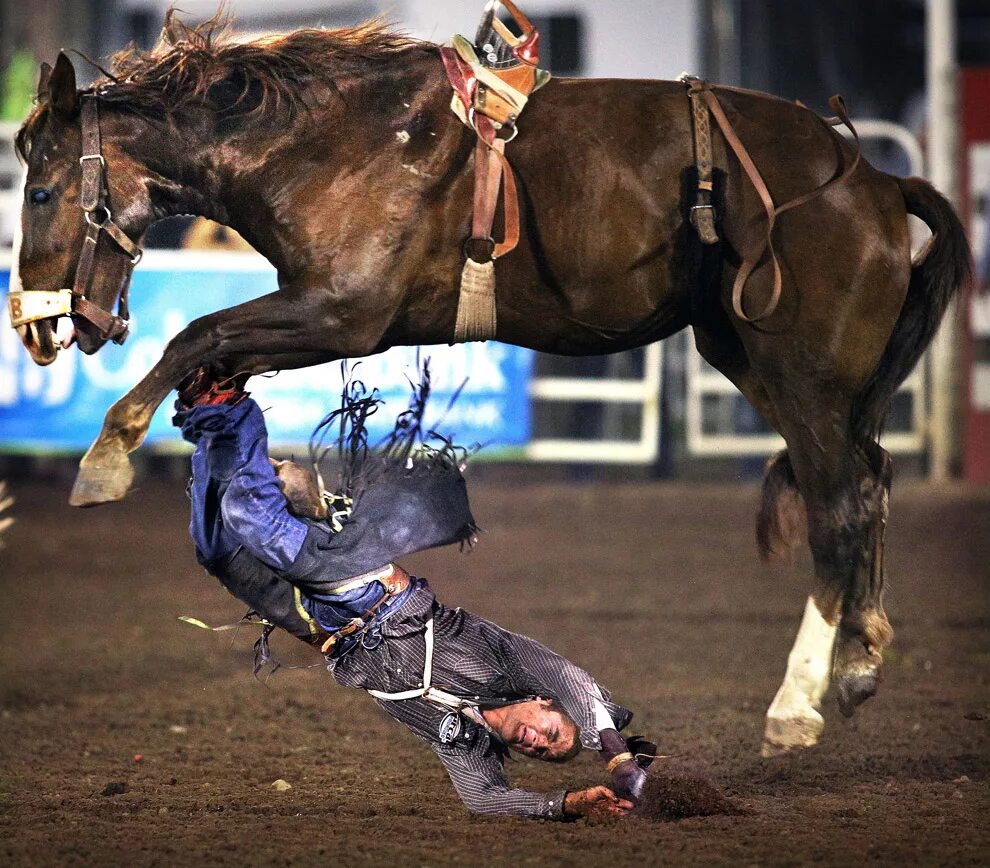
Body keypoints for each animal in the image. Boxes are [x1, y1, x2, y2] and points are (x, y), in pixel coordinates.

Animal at [11, 13, 972, 752]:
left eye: (44, 191)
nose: (40, 324)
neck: (327, 145)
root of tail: (875, 179)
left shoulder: (342, 313)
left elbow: (193, 333)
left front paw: (106, 458)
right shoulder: (325, 317)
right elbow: (211, 357)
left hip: (802, 371)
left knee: (837, 505)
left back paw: (797, 704)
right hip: (758, 359)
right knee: (867, 483)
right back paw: (862, 659)